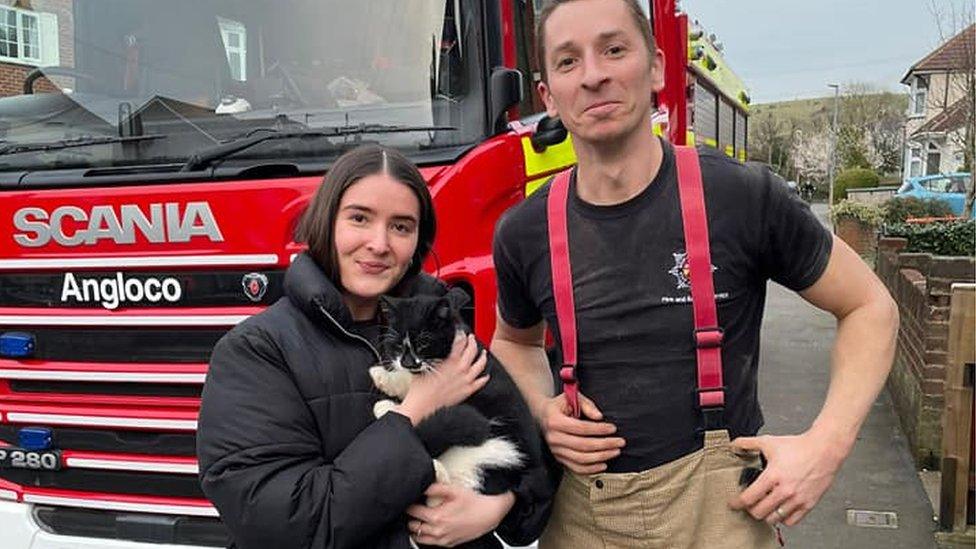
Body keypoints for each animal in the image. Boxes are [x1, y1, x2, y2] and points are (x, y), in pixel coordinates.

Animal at [370, 288, 544, 508]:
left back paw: (436, 470)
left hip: (498, 451)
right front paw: (385, 377)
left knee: (446, 491)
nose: (408, 362)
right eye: (398, 345)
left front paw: (383, 384)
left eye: (424, 342)